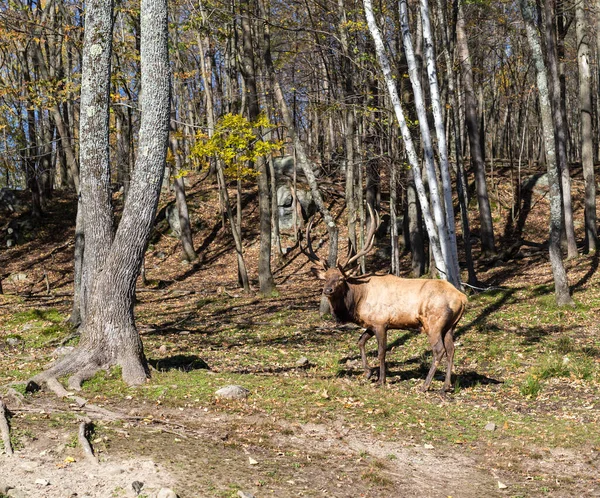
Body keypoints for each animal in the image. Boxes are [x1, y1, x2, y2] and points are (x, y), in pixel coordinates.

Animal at [304, 207, 468, 392]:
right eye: (325, 278)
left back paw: (425, 385)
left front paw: (381, 379)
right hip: (451, 325)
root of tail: (462, 298)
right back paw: (446, 386)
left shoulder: (381, 322)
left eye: (341, 278)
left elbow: (381, 351)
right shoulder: (371, 323)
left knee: (439, 350)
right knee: (451, 349)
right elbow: (360, 342)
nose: (327, 290)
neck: (357, 302)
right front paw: (368, 372)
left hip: (434, 322)